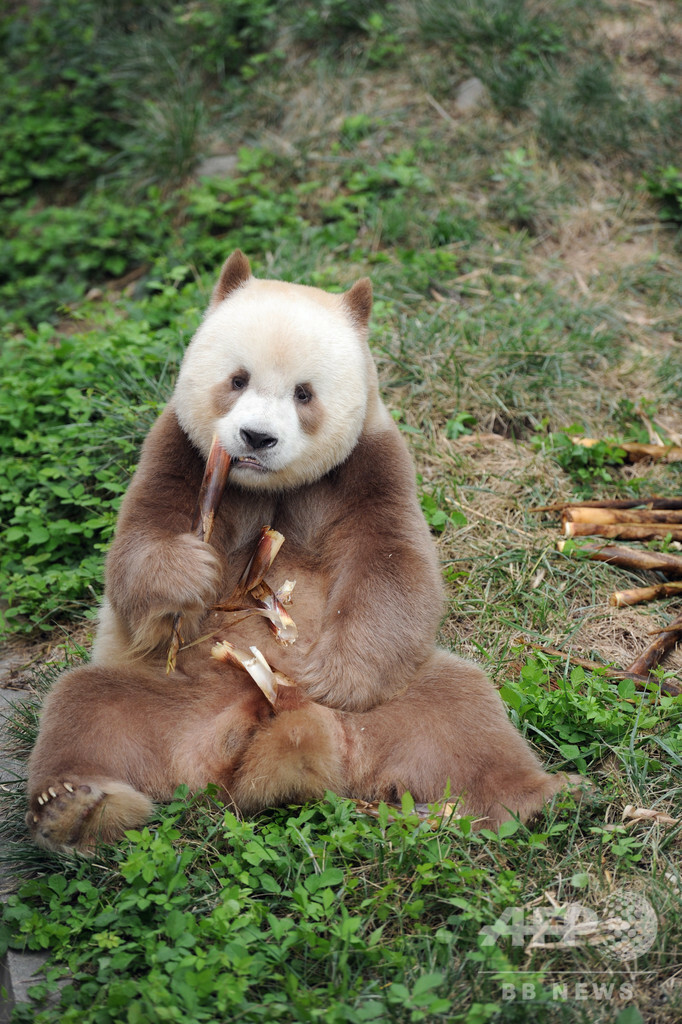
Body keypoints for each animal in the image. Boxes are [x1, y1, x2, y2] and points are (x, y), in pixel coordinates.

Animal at [27, 251, 577, 851]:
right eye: (238, 379)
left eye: (303, 393)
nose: (255, 437)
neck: (270, 486)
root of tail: (283, 737)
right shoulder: (181, 451)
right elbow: (137, 547)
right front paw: (187, 577)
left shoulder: (368, 464)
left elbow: (393, 565)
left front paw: (336, 674)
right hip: (169, 699)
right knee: (85, 708)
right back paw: (75, 805)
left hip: (391, 706)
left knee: (462, 710)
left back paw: (536, 798)